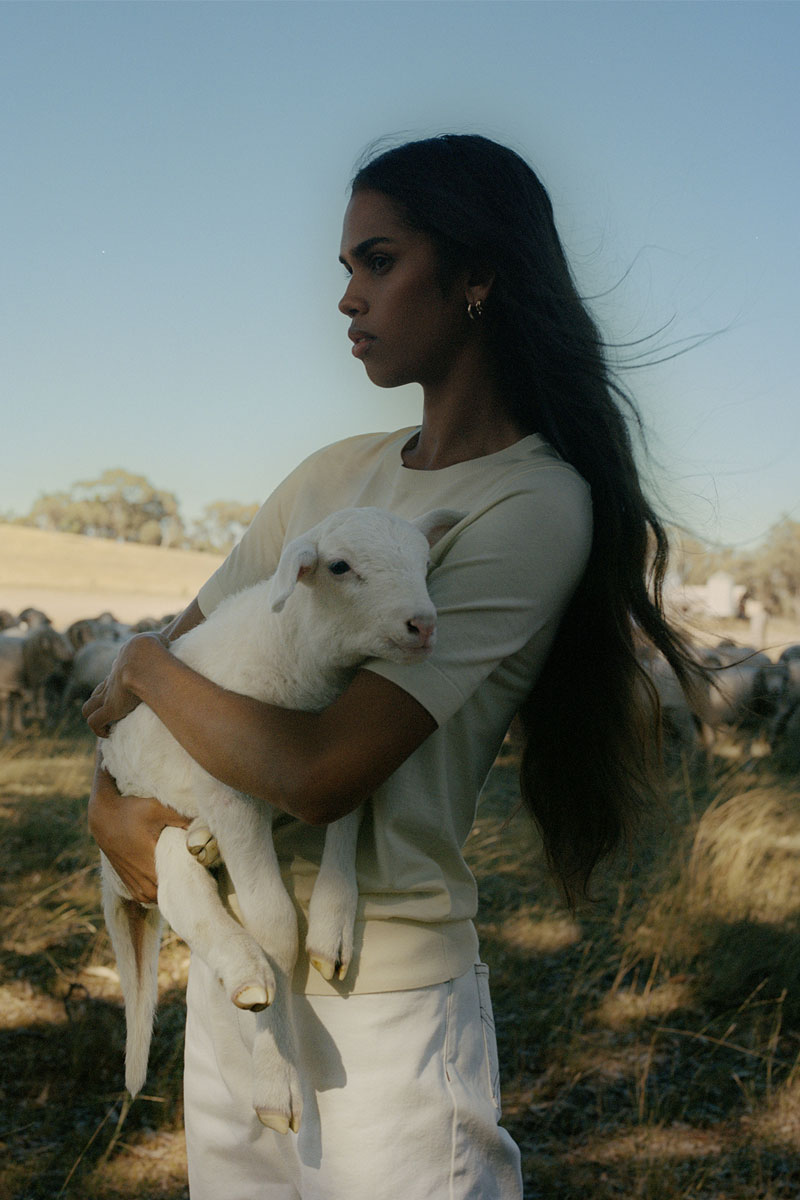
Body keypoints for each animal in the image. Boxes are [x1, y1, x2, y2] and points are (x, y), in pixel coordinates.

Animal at [98, 504, 462, 1132]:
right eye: (339, 567)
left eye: (424, 561)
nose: (424, 625)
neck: (301, 659)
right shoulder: (228, 785)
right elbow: (272, 925)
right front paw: (277, 1079)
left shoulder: (330, 765)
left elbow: (347, 821)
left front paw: (333, 925)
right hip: (146, 806)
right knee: (177, 885)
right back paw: (243, 965)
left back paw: (207, 845)